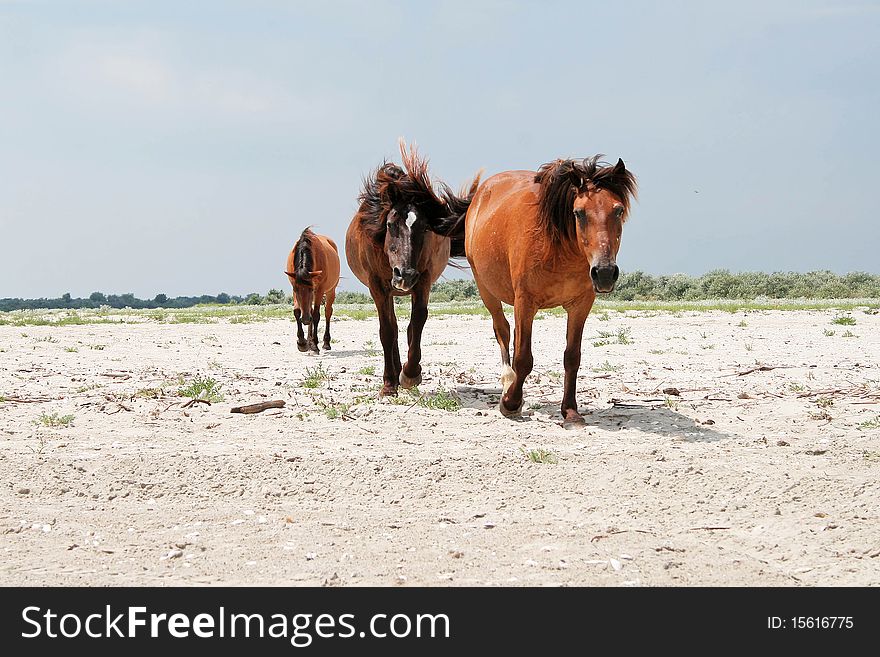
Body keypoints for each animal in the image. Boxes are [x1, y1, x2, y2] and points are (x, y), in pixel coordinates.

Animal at [346, 140, 482, 394]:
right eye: (390, 224)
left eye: (425, 227)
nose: (405, 275)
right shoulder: (377, 286)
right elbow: (387, 331)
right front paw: (389, 383)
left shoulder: (423, 280)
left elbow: (417, 321)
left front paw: (410, 374)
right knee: (392, 328)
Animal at [434, 156, 636, 428]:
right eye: (578, 213)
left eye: (618, 210)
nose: (604, 272)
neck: (559, 249)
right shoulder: (525, 303)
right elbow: (523, 358)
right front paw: (510, 403)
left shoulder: (581, 306)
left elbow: (572, 357)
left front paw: (570, 411)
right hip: (487, 290)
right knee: (503, 331)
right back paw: (508, 382)